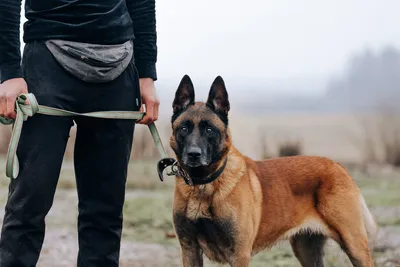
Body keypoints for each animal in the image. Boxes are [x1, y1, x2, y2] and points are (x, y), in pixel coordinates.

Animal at [169, 75, 378, 267]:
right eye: (184, 128)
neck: (203, 184)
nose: (193, 154)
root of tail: (338, 165)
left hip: (354, 245)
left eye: (209, 129)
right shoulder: (189, 249)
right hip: (306, 250)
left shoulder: (239, 254)